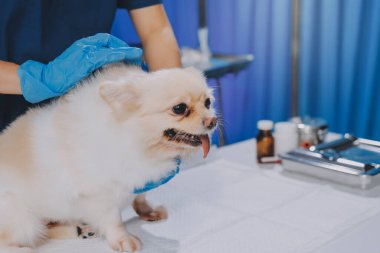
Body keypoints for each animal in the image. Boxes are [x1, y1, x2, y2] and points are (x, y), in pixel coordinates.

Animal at [0, 63, 217, 253]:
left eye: (208, 103)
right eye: (179, 108)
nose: (213, 120)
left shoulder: (138, 177)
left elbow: (139, 197)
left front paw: (148, 212)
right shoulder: (98, 194)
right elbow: (113, 219)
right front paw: (123, 239)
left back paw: (79, 229)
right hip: (22, 218)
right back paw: (24, 250)